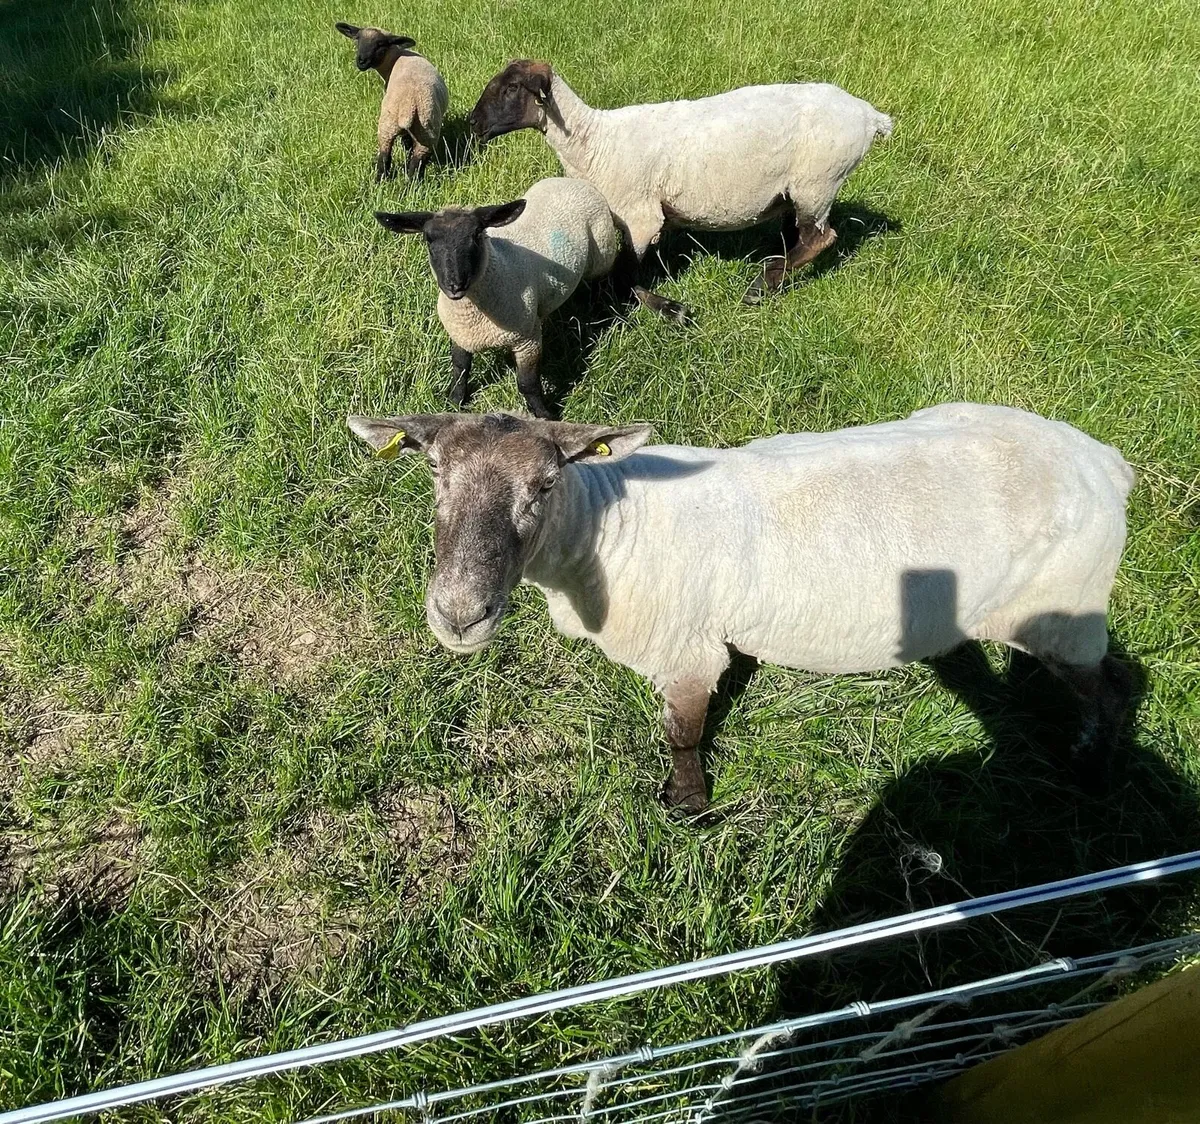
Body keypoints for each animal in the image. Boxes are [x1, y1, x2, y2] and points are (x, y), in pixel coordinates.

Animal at [335, 22, 449, 181]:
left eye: (380, 44)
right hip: (423, 130)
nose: (361, 61)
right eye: (357, 39)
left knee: (389, 159)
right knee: (411, 162)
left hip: (393, 125)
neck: (395, 58)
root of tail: (409, 104)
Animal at [347, 405, 1135, 813]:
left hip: (1066, 606)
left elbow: (683, 735)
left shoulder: (689, 652)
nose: (459, 613)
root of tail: (1107, 460)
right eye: (434, 470)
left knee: (1112, 689)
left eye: (545, 484)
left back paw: (1091, 766)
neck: (610, 525)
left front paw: (688, 805)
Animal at [376, 177, 680, 418]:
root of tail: (573, 180)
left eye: (477, 234)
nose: (454, 285)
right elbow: (460, 370)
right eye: (428, 239)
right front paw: (454, 403)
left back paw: (667, 308)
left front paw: (545, 415)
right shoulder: (460, 334)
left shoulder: (528, 338)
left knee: (616, 282)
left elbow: (527, 384)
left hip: (602, 252)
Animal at [469, 61, 892, 303]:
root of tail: (870, 115)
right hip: (803, 188)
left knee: (821, 238)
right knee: (803, 236)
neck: (593, 141)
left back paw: (762, 285)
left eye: (510, 89)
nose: (474, 123)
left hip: (817, 182)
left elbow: (624, 274)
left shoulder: (641, 218)